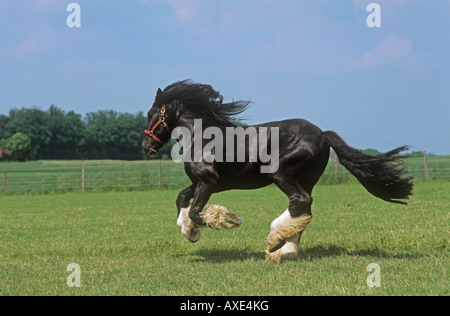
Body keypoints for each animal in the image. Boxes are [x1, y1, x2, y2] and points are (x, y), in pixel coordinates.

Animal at [142, 81, 414, 262]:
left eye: (151, 114)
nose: (146, 146)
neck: (203, 138)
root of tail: (322, 135)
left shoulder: (208, 183)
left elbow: (197, 212)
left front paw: (223, 220)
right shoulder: (202, 183)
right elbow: (182, 199)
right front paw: (190, 231)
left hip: (281, 174)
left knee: (300, 201)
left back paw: (275, 243)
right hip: (305, 178)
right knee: (304, 207)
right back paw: (285, 248)